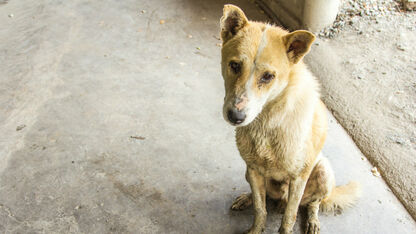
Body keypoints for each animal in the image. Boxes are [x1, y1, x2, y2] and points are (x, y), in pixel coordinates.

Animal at [219, 4, 360, 234]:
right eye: (235, 65)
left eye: (268, 76)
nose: (236, 116)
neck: (267, 123)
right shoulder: (254, 170)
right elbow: (260, 209)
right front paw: (255, 227)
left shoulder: (298, 179)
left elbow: (289, 217)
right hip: (250, 174)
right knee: (264, 197)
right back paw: (246, 198)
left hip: (323, 172)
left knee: (313, 203)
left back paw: (312, 221)